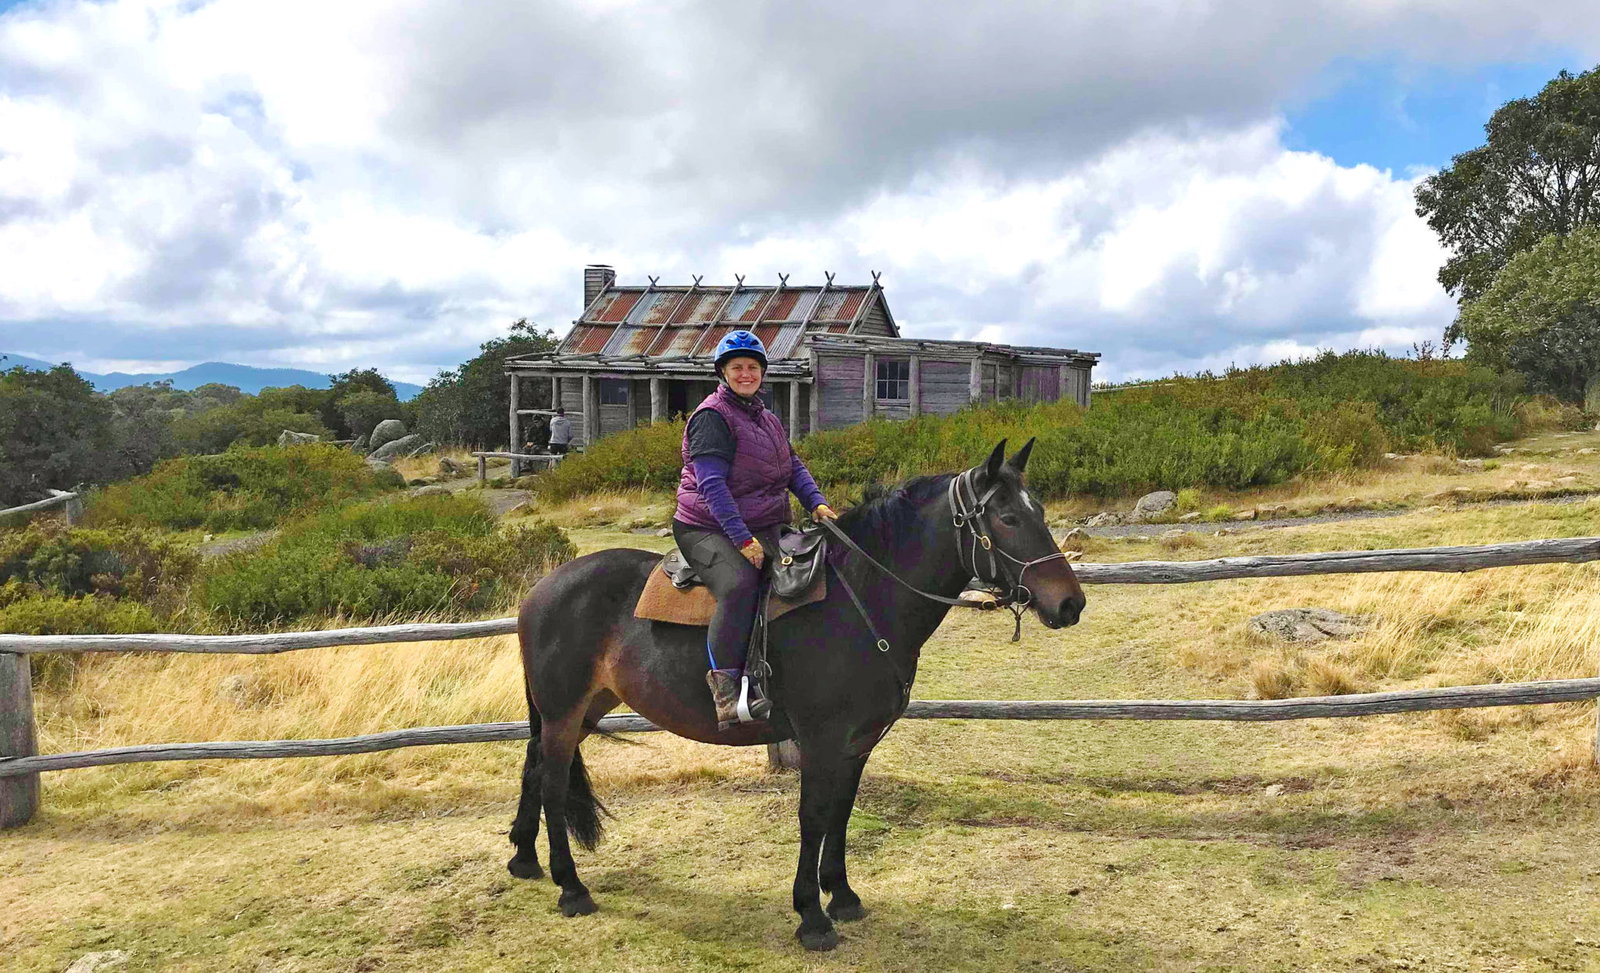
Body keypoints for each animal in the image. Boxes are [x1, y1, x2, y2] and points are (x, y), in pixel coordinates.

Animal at [508, 438, 1086, 951]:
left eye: (1038, 512)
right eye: (1007, 518)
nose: (1070, 604)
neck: (860, 601)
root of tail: (542, 588)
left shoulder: (857, 743)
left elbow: (842, 812)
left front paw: (843, 896)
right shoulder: (821, 739)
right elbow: (813, 816)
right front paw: (811, 916)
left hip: (584, 709)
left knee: (534, 768)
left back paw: (524, 859)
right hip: (563, 712)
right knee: (553, 783)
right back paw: (570, 887)